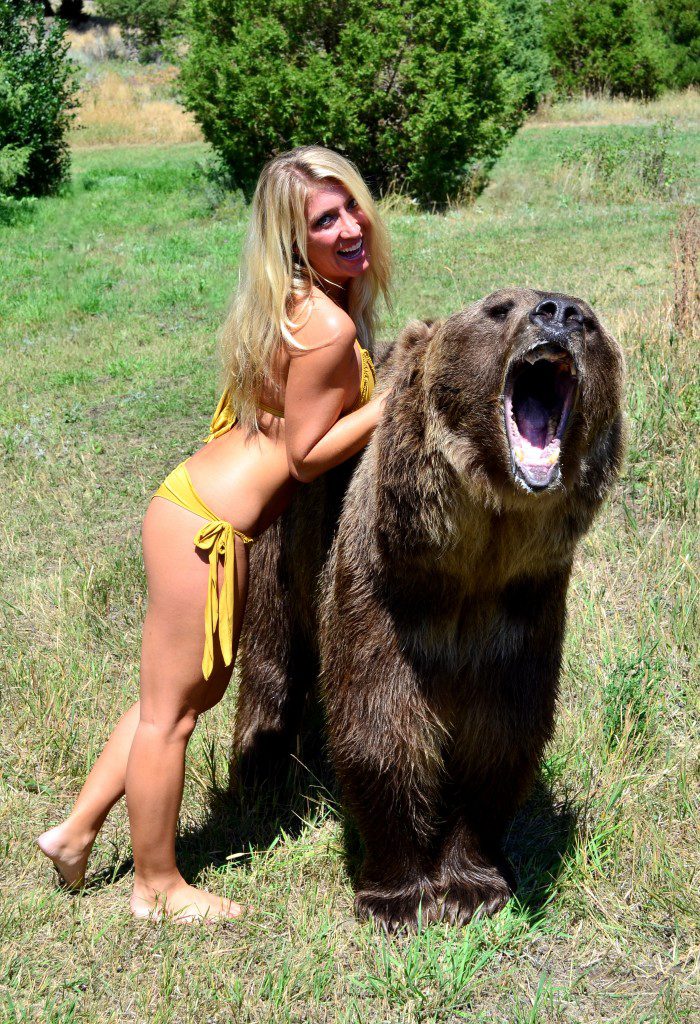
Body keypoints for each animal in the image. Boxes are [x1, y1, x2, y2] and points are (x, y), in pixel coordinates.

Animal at [233, 288, 625, 931]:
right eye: (499, 307)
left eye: (591, 322)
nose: (561, 311)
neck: (476, 548)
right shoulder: (387, 587)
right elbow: (380, 723)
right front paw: (398, 896)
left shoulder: (523, 604)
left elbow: (500, 731)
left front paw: (473, 887)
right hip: (284, 531)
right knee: (272, 648)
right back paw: (261, 773)